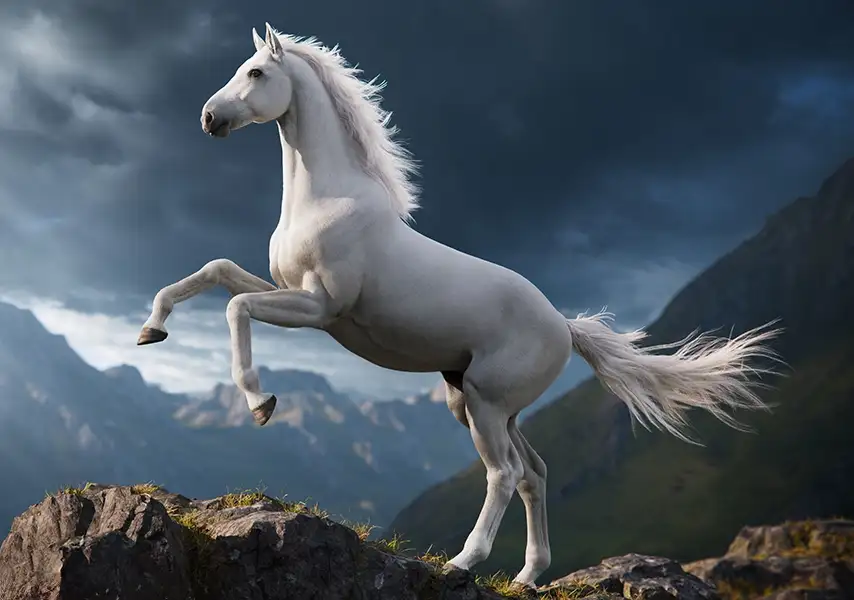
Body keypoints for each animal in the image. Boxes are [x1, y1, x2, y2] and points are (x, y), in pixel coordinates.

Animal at [137, 23, 781, 588]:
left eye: (256, 72)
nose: (209, 118)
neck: (329, 198)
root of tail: (564, 327)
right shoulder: (290, 291)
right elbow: (218, 272)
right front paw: (151, 330)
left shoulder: (322, 310)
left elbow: (237, 307)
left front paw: (260, 402)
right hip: (480, 402)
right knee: (535, 474)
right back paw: (527, 575)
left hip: (487, 402)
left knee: (505, 474)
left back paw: (463, 562)